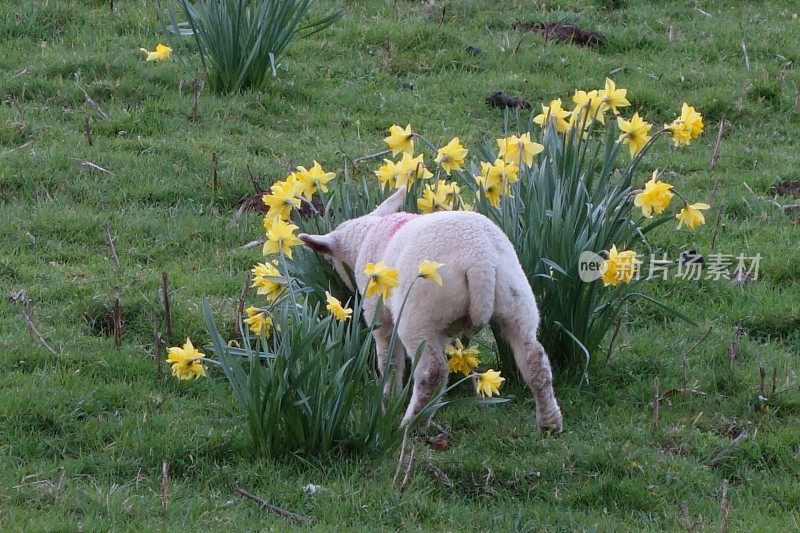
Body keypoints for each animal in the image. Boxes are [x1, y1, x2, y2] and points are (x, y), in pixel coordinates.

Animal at [298, 188, 564, 432]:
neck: (371, 235)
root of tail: (480, 259)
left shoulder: (379, 312)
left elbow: (389, 360)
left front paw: (388, 401)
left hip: (419, 313)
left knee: (432, 371)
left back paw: (411, 426)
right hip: (515, 297)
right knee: (534, 359)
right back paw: (550, 423)